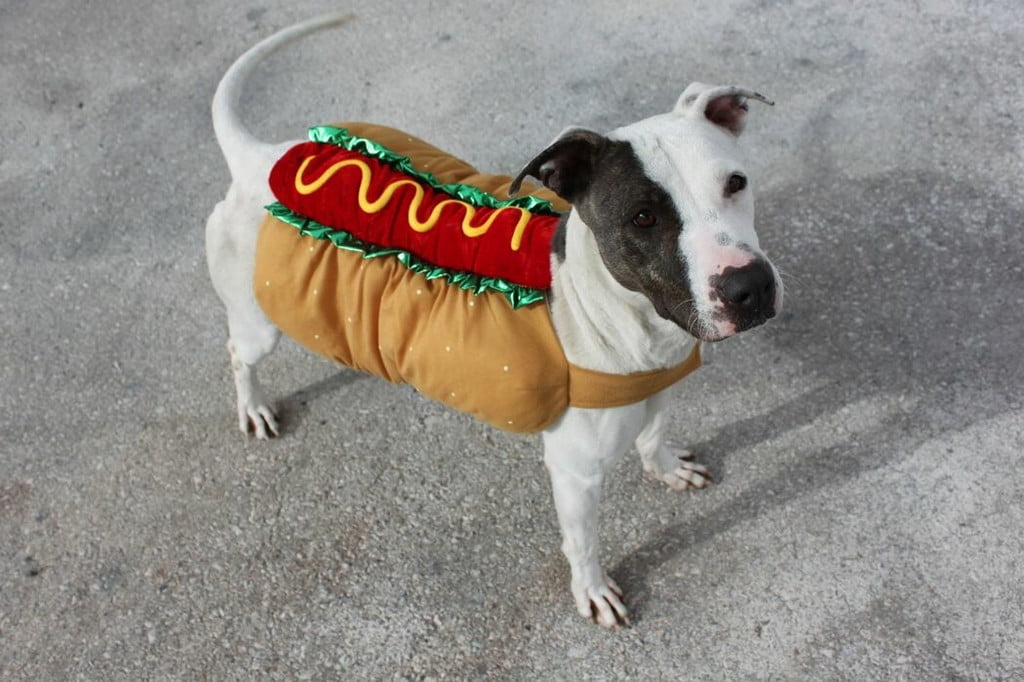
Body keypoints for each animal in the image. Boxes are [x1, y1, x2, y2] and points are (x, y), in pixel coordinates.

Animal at [207, 11, 782, 626]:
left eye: (735, 183)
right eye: (643, 218)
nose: (750, 288)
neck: (618, 315)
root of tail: (262, 157)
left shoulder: (660, 390)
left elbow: (653, 435)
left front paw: (665, 465)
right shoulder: (575, 472)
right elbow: (583, 543)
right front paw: (592, 590)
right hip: (261, 321)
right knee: (239, 353)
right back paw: (253, 406)